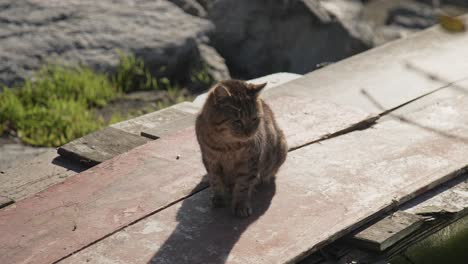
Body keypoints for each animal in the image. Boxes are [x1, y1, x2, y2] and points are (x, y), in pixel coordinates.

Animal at [195, 79, 288, 217]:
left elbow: (243, 185)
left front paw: (241, 205)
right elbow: (215, 180)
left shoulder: (249, 162)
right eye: (237, 121)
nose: (249, 133)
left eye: (254, 118)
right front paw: (219, 198)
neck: (228, 147)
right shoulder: (210, 160)